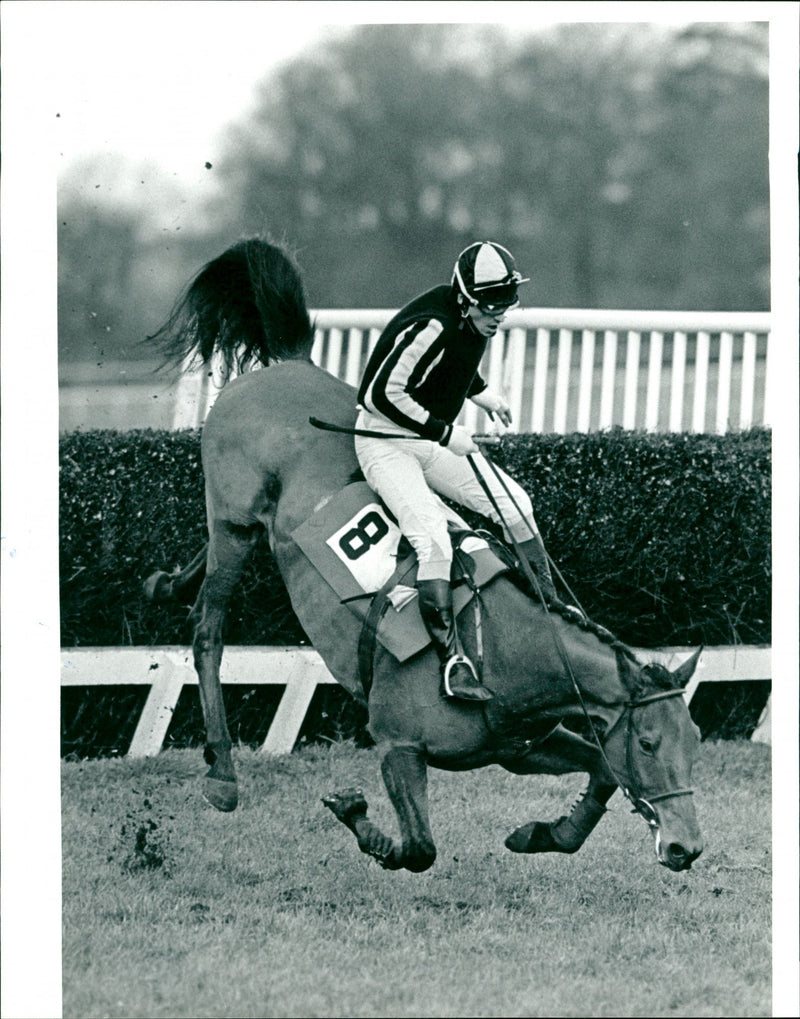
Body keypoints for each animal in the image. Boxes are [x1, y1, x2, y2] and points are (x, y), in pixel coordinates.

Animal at [146, 236, 701, 876]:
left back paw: (164, 583)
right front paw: (355, 813)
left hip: (240, 525)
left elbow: (603, 776)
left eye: (694, 739)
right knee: (208, 633)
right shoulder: (399, 746)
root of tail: (284, 364)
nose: (686, 848)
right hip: (236, 522)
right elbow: (418, 849)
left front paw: (541, 833)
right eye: (648, 742)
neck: (502, 650)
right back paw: (222, 773)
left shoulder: (521, 746)